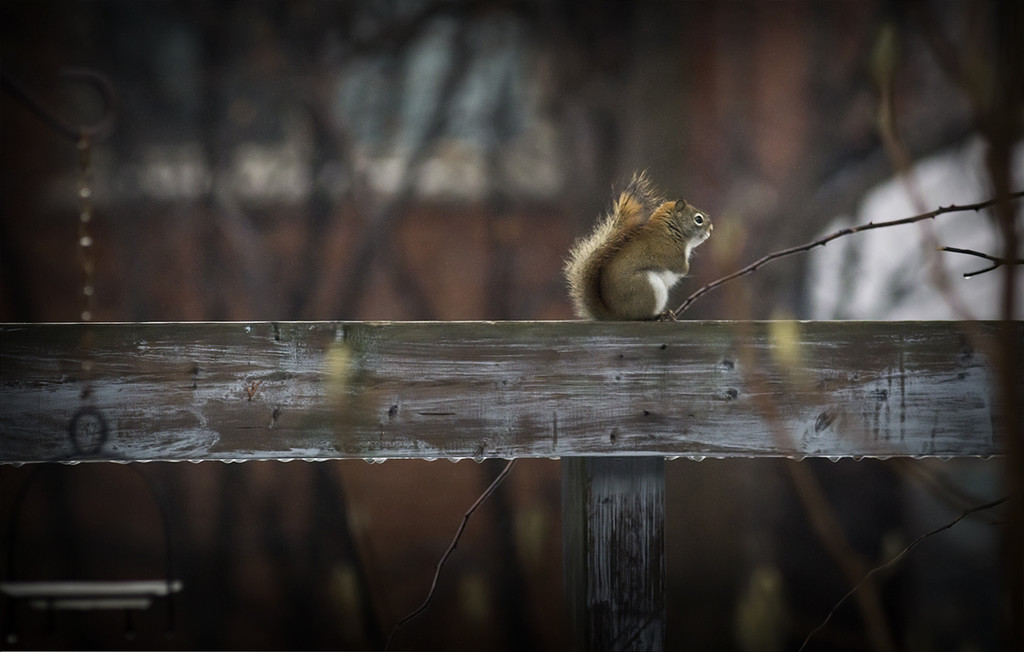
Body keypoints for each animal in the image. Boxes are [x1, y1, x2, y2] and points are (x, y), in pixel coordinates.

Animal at [561, 169, 712, 317]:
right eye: (698, 219)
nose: (711, 229)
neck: (670, 230)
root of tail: (617, 316)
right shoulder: (667, 251)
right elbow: (678, 266)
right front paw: (686, 268)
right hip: (648, 287)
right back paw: (660, 316)